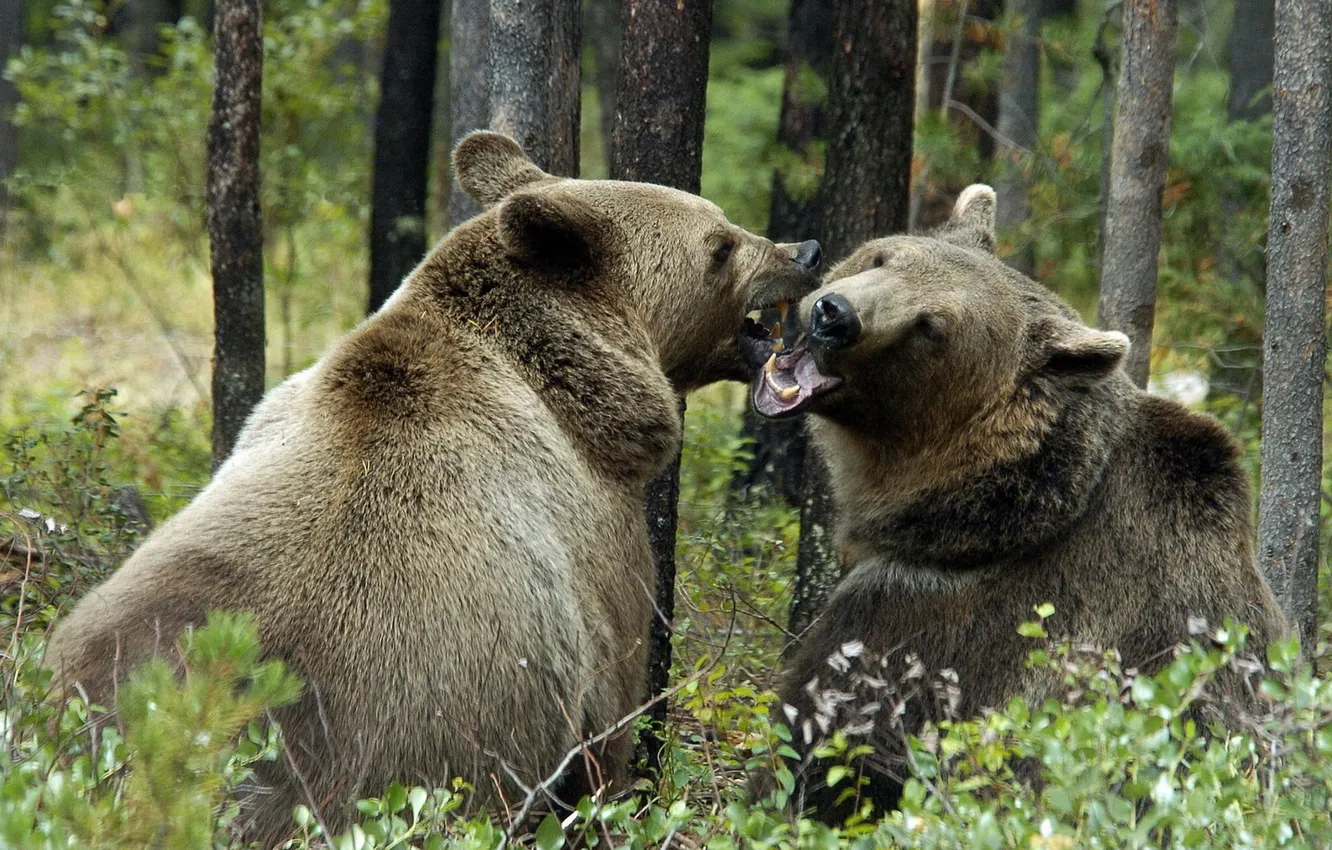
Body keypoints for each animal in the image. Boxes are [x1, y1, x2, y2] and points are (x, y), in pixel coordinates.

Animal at [43, 131, 822, 846]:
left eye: (725, 223)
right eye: (720, 243)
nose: (804, 251)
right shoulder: (599, 554)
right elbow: (613, 718)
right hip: (395, 740)